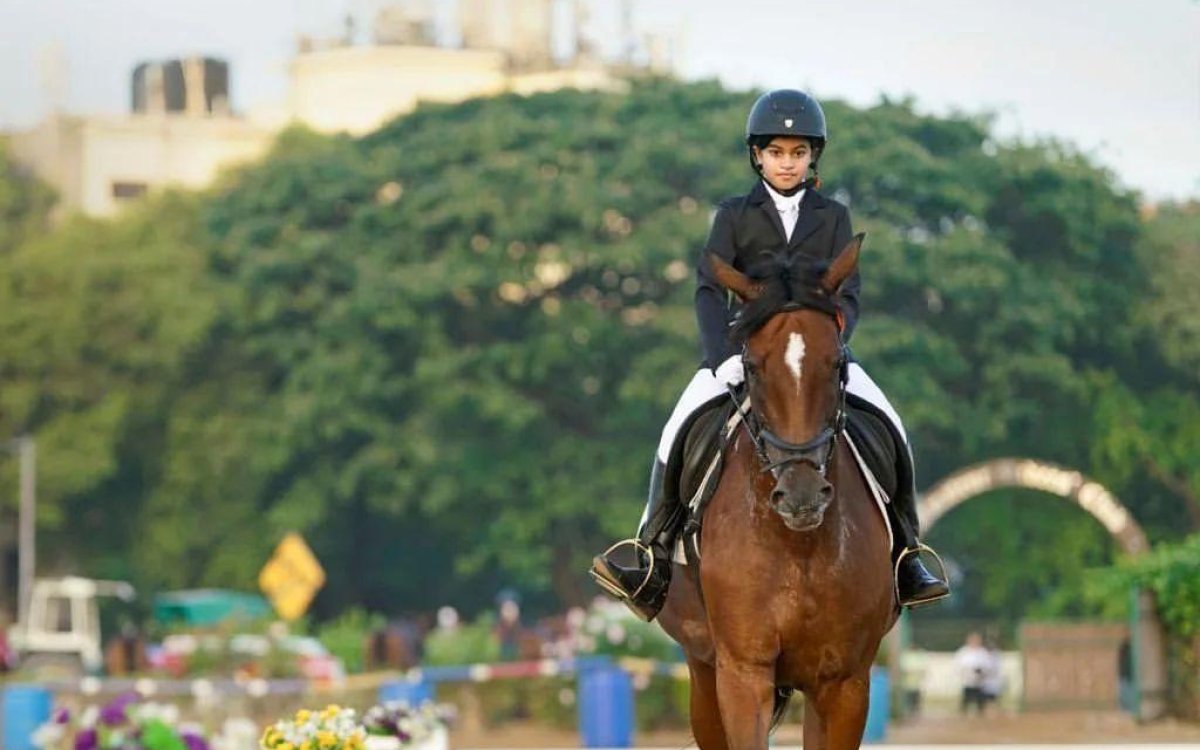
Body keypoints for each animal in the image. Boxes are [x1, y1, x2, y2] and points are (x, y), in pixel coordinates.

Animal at [657, 235, 902, 748]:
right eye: (751, 365)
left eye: (837, 363)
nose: (801, 496)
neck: (797, 548)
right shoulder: (743, 673)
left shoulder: (845, 682)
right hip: (701, 669)